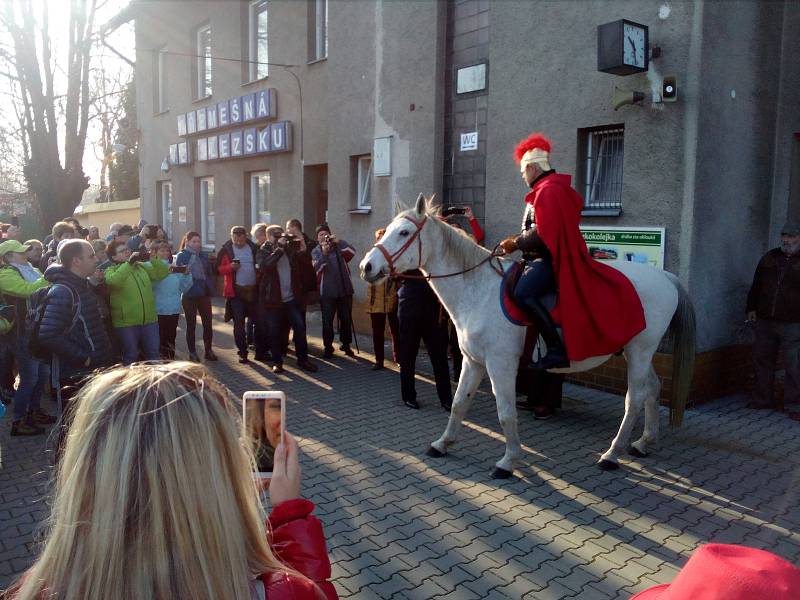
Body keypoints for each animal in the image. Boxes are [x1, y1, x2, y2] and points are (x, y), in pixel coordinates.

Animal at [360, 196, 696, 478]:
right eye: (387, 230)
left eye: (404, 232)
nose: (367, 266)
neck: (478, 290)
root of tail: (666, 277)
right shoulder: (473, 361)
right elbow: (458, 403)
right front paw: (443, 444)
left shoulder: (500, 365)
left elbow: (505, 413)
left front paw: (508, 461)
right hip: (636, 351)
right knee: (653, 389)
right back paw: (643, 442)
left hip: (640, 351)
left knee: (634, 399)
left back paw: (612, 454)